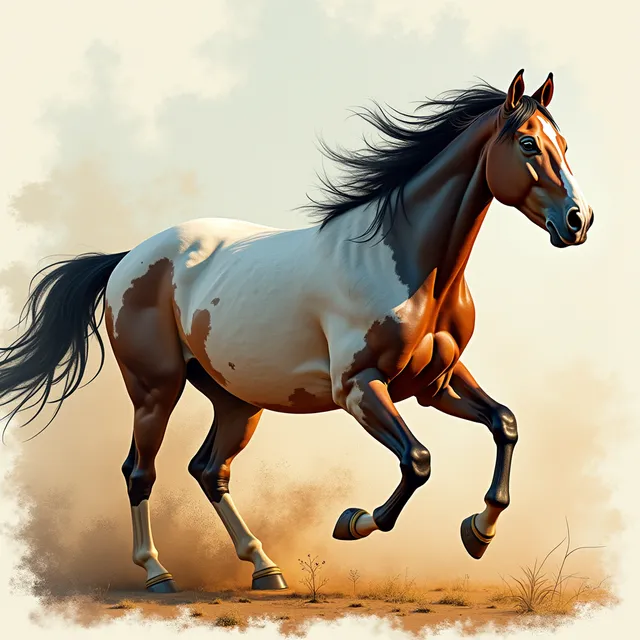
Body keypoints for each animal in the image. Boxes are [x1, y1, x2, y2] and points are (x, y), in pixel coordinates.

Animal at [0, 69, 594, 593]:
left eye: (563, 142)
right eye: (528, 144)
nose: (578, 220)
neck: (410, 264)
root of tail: (128, 258)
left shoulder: (434, 384)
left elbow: (505, 424)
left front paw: (479, 533)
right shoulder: (358, 388)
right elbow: (418, 461)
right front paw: (352, 522)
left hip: (238, 401)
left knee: (209, 469)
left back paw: (265, 568)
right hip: (154, 391)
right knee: (139, 472)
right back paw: (158, 574)